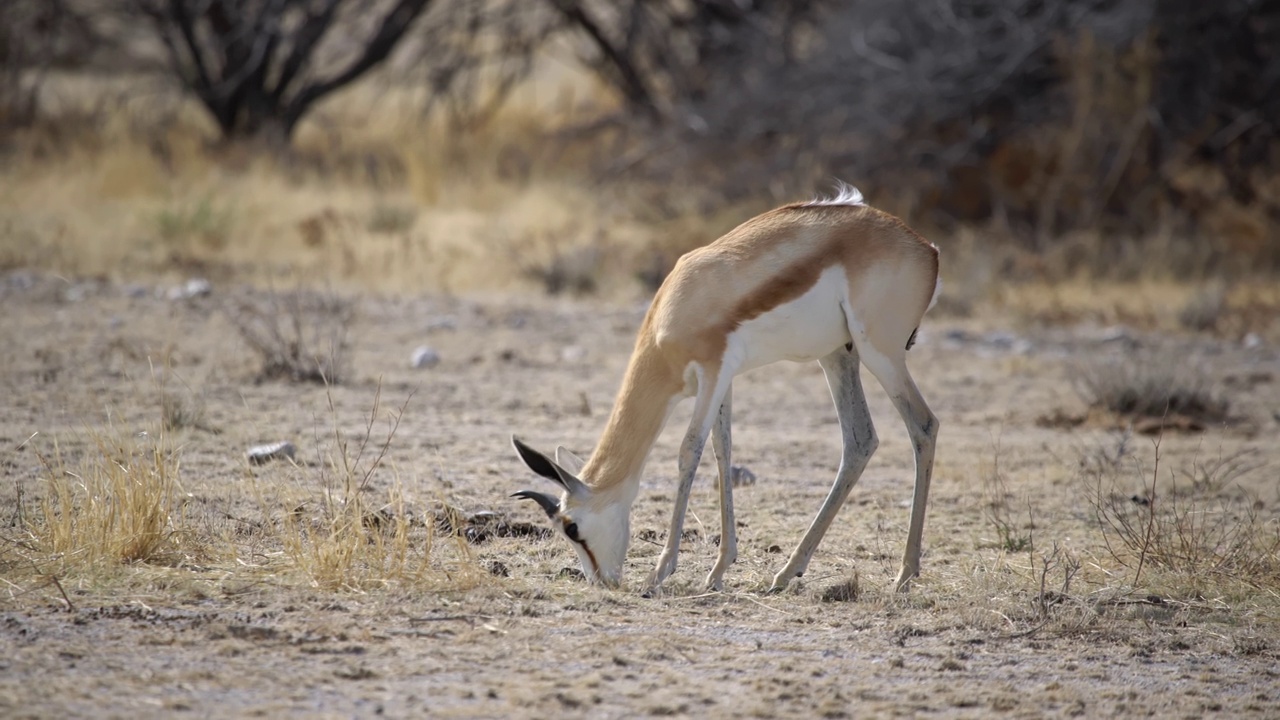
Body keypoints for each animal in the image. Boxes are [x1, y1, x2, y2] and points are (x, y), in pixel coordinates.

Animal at [509, 184, 942, 594]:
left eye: (571, 527)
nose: (602, 581)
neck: (677, 308)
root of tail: (927, 250)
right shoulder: (723, 381)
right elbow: (723, 450)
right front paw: (718, 571)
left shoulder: (713, 370)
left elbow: (689, 452)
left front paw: (659, 573)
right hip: (838, 354)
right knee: (860, 440)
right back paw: (786, 573)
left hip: (879, 353)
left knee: (924, 425)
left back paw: (904, 575)